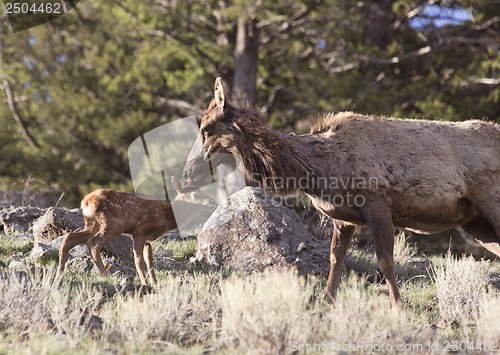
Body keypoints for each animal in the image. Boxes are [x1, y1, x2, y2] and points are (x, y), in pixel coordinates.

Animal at [57, 178, 216, 286]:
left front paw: (155, 283)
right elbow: (138, 260)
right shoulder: (139, 231)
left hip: (92, 224)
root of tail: (86, 202)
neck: (165, 217)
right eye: (195, 195)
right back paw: (105, 275)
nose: (212, 202)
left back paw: (60, 272)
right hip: (113, 223)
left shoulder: (148, 240)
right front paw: (145, 283)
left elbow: (149, 260)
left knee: (69, 238)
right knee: (94, 243)